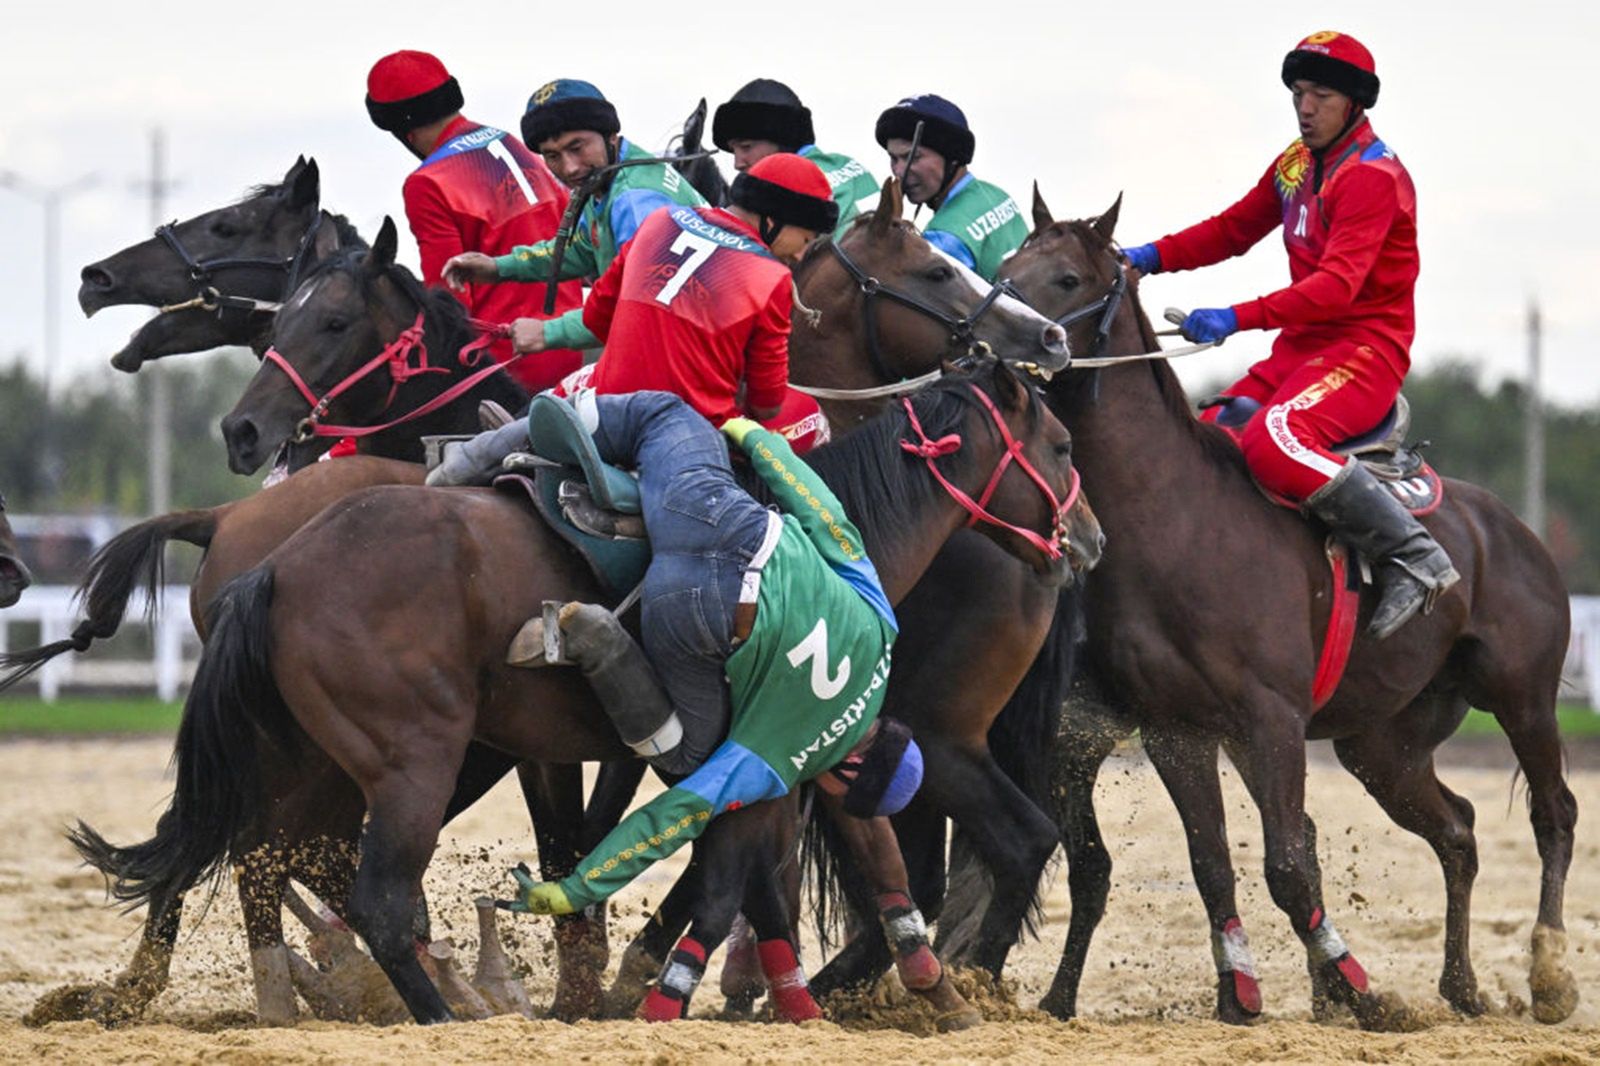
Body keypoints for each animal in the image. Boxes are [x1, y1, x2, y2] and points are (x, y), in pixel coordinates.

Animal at [972, 188, 1574, 1024]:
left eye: (1065, 277)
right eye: (1006, 263)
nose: (982, 336)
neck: (1181, 518)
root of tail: (1510, 530)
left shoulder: (1271, 721)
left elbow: (1288, 862)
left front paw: (1356, 990)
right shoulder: (1177, 731)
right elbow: (1210, 862)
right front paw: (1241, 992)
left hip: (1522, 698)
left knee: (1554, 815)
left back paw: (1547, 974)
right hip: (1382, 745)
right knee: (1458, 829)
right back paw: (1460, 985)